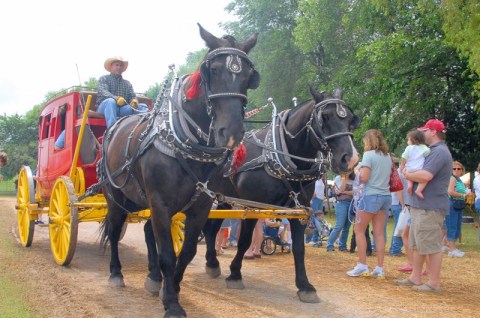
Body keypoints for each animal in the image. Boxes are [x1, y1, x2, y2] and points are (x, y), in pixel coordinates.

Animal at [98, 24, 260, 318]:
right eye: (213, 70)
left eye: (247, 76)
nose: (231, 133)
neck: (189, 147)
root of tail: (116, 124)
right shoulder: (161, 203)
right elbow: (167, 255)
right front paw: (172, 303)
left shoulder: (201, 207)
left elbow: (185, 253)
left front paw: (169, 288)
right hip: (115, 196)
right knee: (115, 231)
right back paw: (116, 273)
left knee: (147, 230)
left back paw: (153, 278)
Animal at [200, 86, 360, 304]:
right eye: (325, 117)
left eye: (351, 119)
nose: (350, 159)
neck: (279, 154)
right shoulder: (252, 206)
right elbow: (244, 240)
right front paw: (235, 274)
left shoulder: (299, 210)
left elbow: (299, 248)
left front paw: (305, 286)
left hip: (223, 198)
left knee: (211, 228)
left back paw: (212, 263)